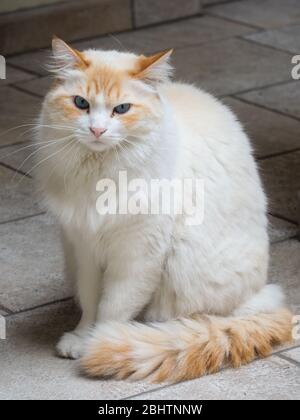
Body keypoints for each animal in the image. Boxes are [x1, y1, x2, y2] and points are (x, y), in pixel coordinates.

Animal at [34, 37, 292, 382]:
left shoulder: (138, 254)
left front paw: (99, 343)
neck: (101, 173)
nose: (97, 131)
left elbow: (112, 307)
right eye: (81, 104)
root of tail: (262, 297)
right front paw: (81, 338)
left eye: (122, 109)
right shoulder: (84, 247)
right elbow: (90, 303)